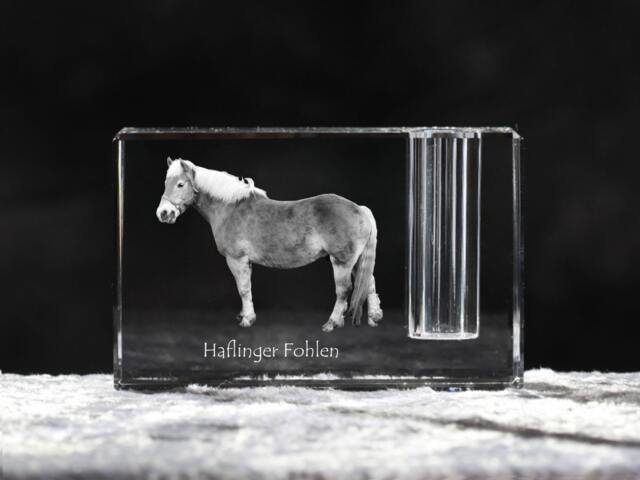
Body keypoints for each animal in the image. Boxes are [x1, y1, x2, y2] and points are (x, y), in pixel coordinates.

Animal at [156, 157, 383, 332]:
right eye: (166, 183)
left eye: (180, 184)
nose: (163, 213)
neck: (230, 208)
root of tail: (360, 209)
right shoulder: (244, 262)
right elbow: (246, 287)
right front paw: (244, 315)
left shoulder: (236, 259)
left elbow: (243, 289)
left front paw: (247, 319)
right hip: (355, 261)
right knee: (369, 282)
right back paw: (374, 317)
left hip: (342, 262)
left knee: (344, 290)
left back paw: (332, 323)